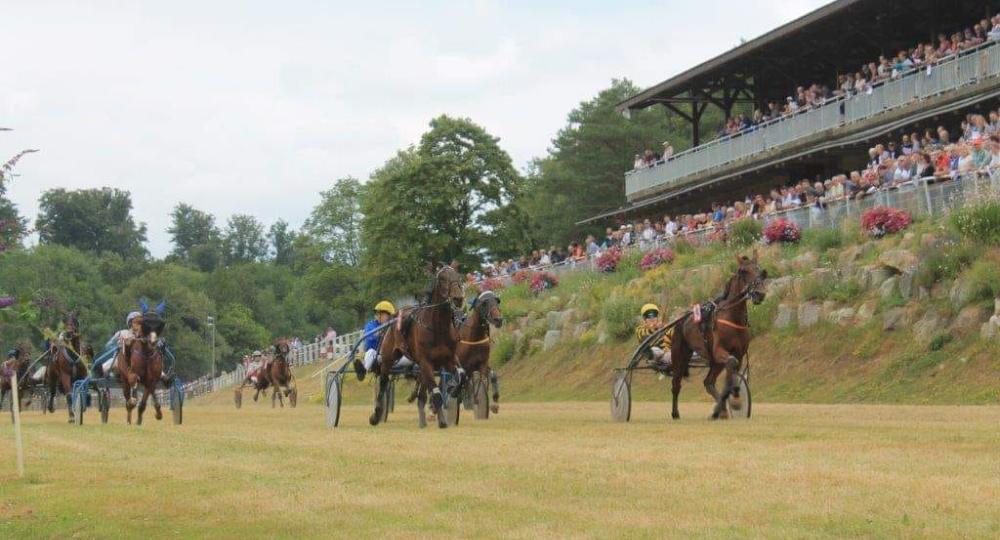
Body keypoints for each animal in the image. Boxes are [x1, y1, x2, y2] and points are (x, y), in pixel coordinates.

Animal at [374, 264, 466, 428]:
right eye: (443, 279)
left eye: (458, 276)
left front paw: (454, 391)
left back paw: (422, 419)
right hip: (388, 357)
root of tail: (395, 316)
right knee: (384, 382)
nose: (458, 298)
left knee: (422, 394)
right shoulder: (426, 362)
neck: (437, 327)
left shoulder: (448, 359)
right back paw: (376, 415)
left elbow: (461, 376)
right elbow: (436, 394)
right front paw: (442, 422)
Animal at [460, 288, 508, 416]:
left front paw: (494, 403)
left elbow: (491, 376)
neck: (474, 338)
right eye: (484, 303)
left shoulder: (481, 364)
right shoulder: (463, 365)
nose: (498, 320)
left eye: (497, 301)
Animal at [672, 253, 764, 422]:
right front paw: (734, 401)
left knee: (708, 382)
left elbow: (733, 369)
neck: (732, 317)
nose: (759, 293)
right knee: (676, 383)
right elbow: (731, 365)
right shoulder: (719, 350)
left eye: (759, 269)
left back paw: (721, 411)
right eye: (743, 271)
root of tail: (682, 318)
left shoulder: (738, 354)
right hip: (680, 355)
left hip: (715, 362)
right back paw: (675, 413)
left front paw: (732, 400)